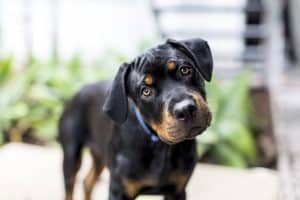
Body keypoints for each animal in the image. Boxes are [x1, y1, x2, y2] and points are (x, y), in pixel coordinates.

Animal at [58, 38, 213, 200]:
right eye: (146, 91)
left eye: (185, 70)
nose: (185, 109)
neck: (160, 145)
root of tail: (77, 92)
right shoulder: (119, 190)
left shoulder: (177, 190)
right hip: (71, 153)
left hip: (99, 154)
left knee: (87, 182)